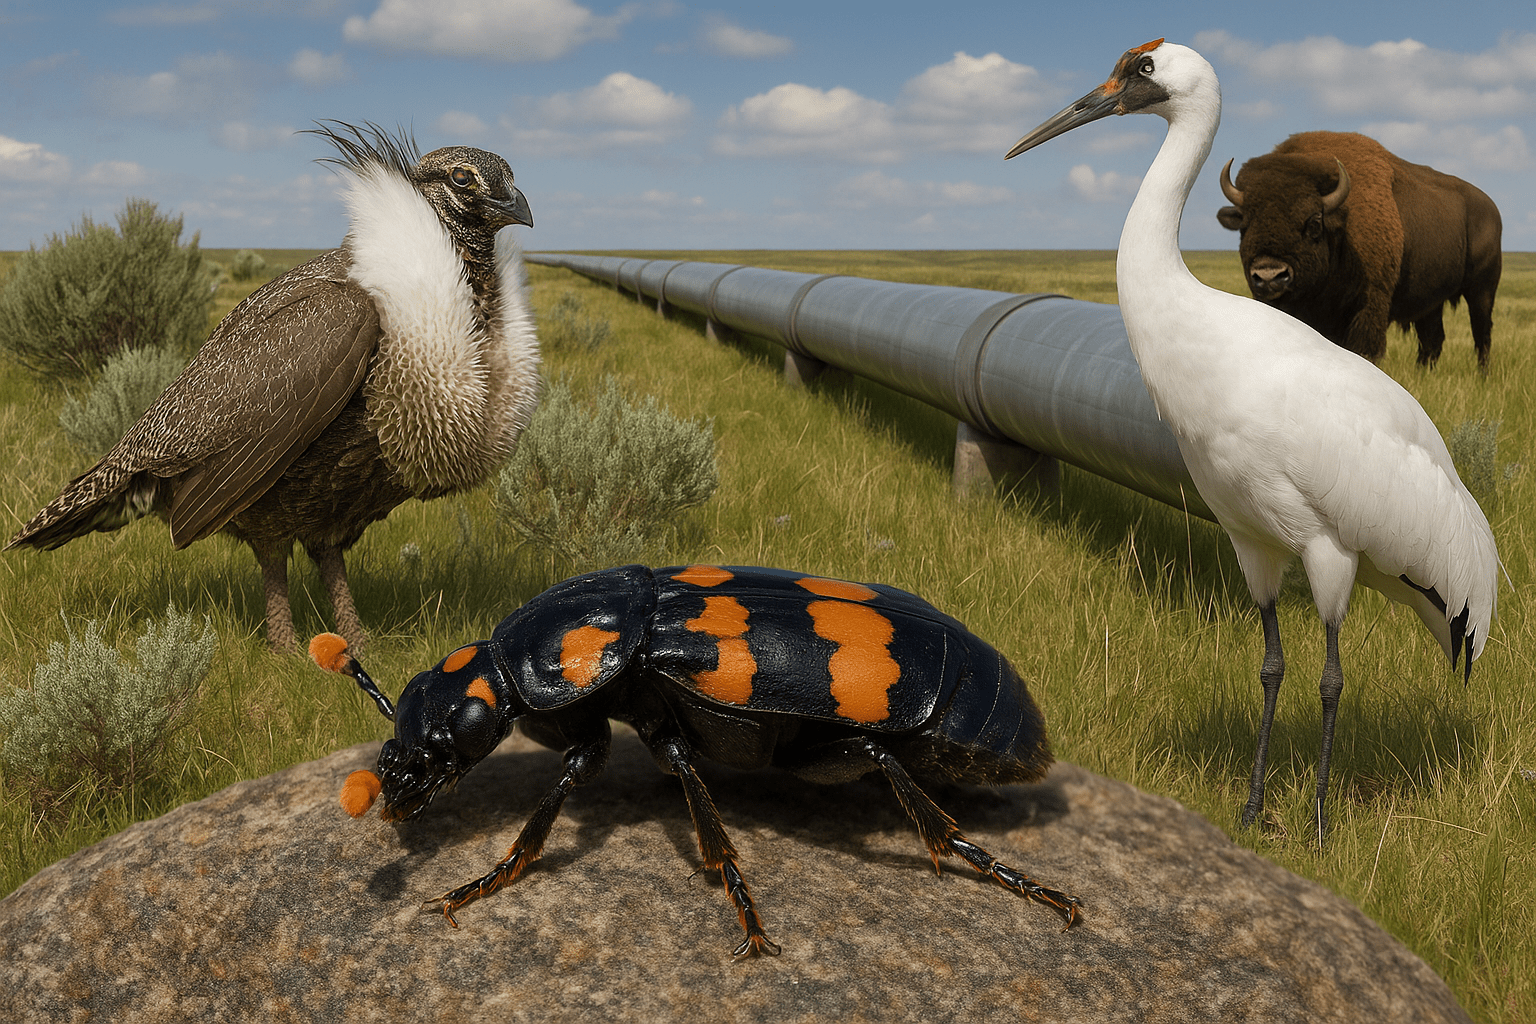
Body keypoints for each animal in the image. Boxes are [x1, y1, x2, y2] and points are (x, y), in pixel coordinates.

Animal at [1216, 131, 1502, 372]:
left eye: (1314, 222)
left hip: (1482, 289)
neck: (1341, 230)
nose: (1269, 275)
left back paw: (1482, 375)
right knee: (1433, 339)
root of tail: (1491, 208)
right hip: (1430, 301)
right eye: (1245, 224)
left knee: (1481, 333)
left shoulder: (1369, 306)